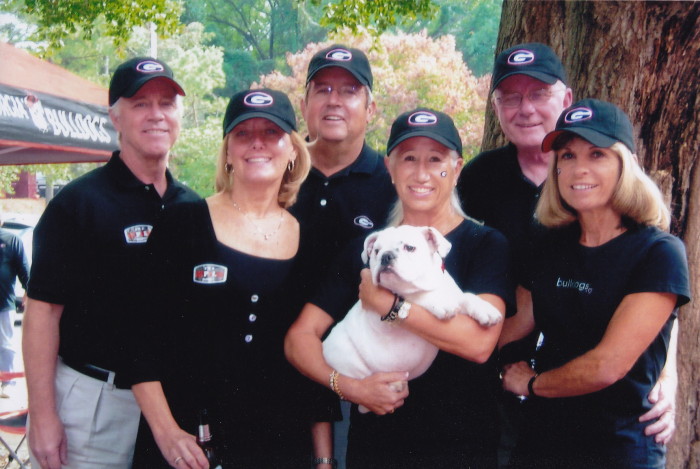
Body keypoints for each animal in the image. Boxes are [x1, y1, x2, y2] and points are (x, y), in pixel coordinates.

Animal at [324, 223, 504, 410]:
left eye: (409, 248)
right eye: (376, 251)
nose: (385, 256)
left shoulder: (454, 294)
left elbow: (466, 297)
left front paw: (485, 309)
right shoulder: (405, 295)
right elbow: (418, 296)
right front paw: (440, 302)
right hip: (342, 351)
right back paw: (394, 384)